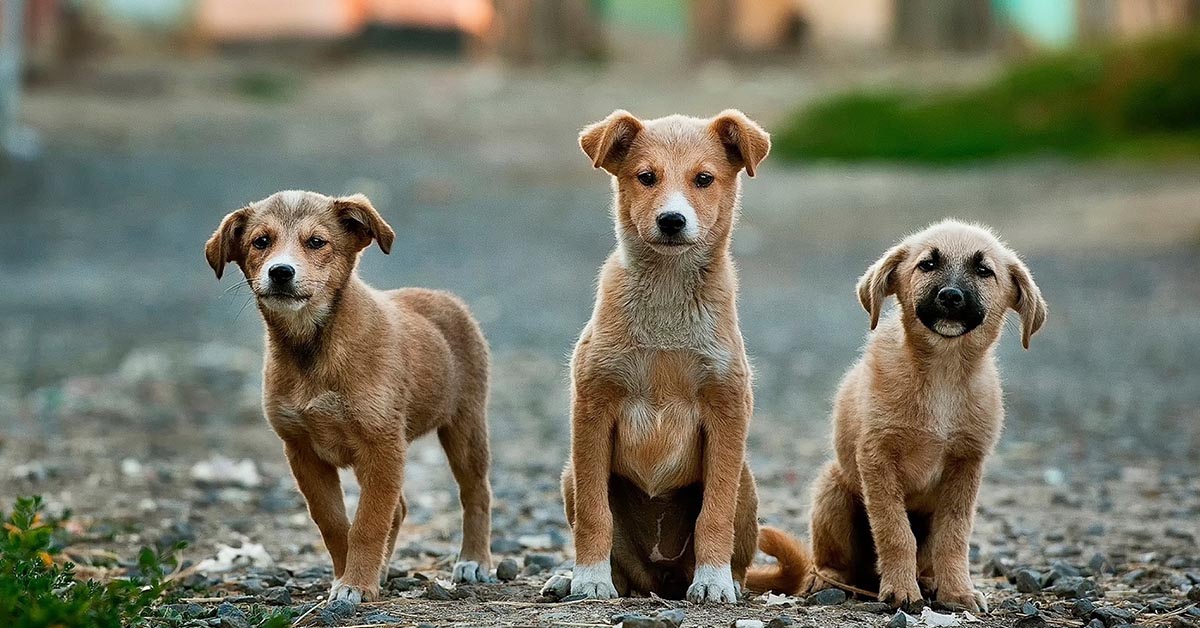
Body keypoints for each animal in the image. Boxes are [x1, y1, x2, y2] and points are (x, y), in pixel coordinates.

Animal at [206, 190, 492, 605]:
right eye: (261, 242)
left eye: (316, 242)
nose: (281, 272)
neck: (313, 348)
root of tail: (444, 298)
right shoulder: (302, 450)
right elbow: (335, 523)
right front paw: (348, 577)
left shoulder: (381, 445)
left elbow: (368, 523)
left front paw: (356, 583)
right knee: (399, 508)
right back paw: (384, 570)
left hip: (465, 425)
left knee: (476, 493)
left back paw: (474, 561)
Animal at [544, 109, 768, 605]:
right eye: (646, 177)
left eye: (704, 179)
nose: (671, 220)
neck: (667, 297)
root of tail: (661, 577)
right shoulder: (592, 406)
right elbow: (594, 513)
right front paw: (588, 577)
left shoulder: (727, 409)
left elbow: (714, 513)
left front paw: (713, 581)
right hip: (570, 474)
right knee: (617, 558)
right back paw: (570, 577)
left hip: (745, 481)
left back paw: (725, 580)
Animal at [753, 220, 1046, 614]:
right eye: (927, 265)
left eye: (984, 270)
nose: (951, 296)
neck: (942, 373)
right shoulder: (877, 459)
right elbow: (895, 532)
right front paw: (901, 591)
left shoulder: (966, 465)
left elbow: (954, 537)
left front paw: (958, 591)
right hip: (833, 490)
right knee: (832, 560)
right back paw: (829, 579)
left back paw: (930, 580)